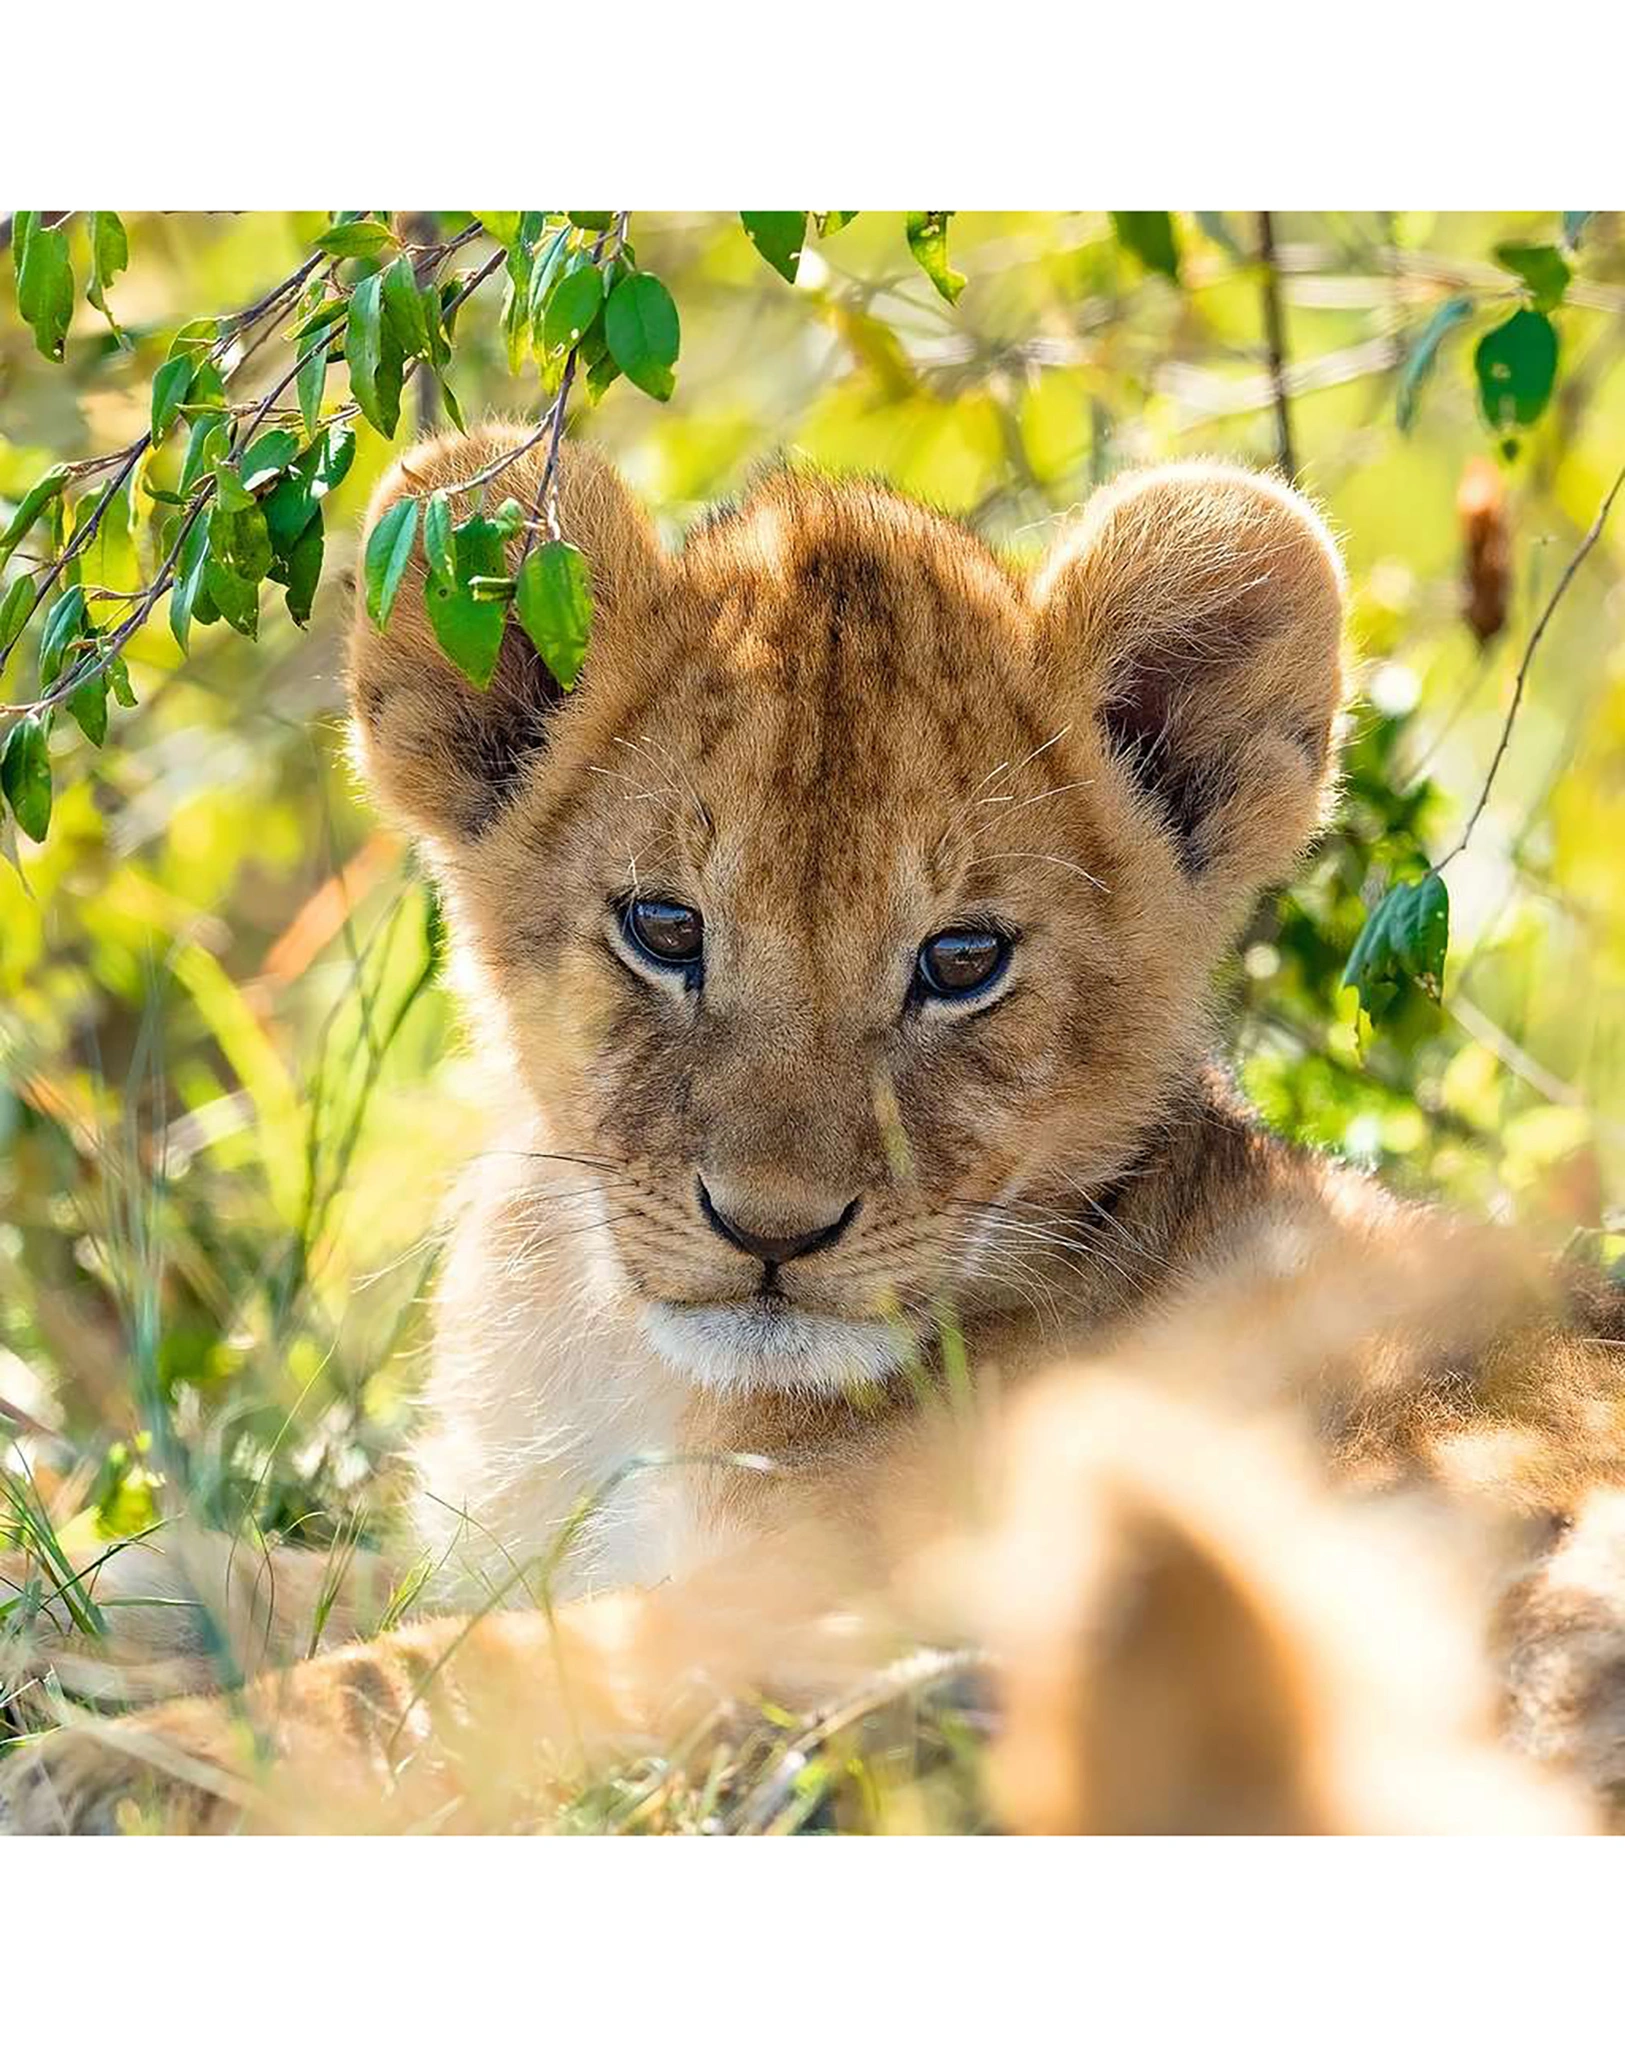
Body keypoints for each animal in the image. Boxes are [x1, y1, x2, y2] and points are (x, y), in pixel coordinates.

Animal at [3, 425, 1621, 1833]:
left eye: (961, 960)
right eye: (664, 928)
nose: (770, 1231)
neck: (611, 1358)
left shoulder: (801, 1601)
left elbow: (438, 1679)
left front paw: (112, 1764)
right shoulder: (499, 1543)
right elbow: (238, 1573)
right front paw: (65, 1607)